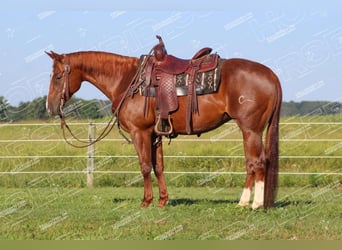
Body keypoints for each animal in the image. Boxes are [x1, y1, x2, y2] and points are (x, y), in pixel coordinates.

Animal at [45, 47, 282, 209]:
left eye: (58, 76)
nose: (50, 107)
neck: (127, 80)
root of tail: (271, 75)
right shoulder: (155, 134)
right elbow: (158, 166)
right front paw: (162, 200)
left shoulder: (140, 132)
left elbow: (144, 166)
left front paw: (146, 201)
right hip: (250, 132)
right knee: (253, 163)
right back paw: (246, 202)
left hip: (250, 130)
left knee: (257, 162)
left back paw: (254, 204)